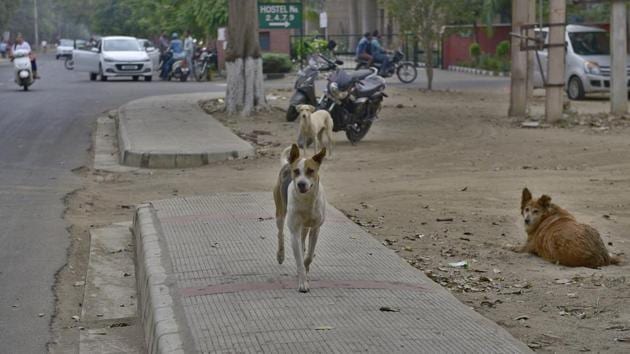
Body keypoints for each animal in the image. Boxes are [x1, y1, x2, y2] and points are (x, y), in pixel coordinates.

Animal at [274, 144, 328, 294]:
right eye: (296, 171)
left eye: (311, 171)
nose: (301, 184)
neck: (306, 200)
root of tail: (287, 164)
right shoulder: (294, 233)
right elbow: (299, 260)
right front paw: (303, 283)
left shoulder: (316, 229)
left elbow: (309, 255)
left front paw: (306, 265)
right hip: (280, 212)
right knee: (280, 233)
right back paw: (280, 254)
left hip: (305, 227)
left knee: (304, 241)